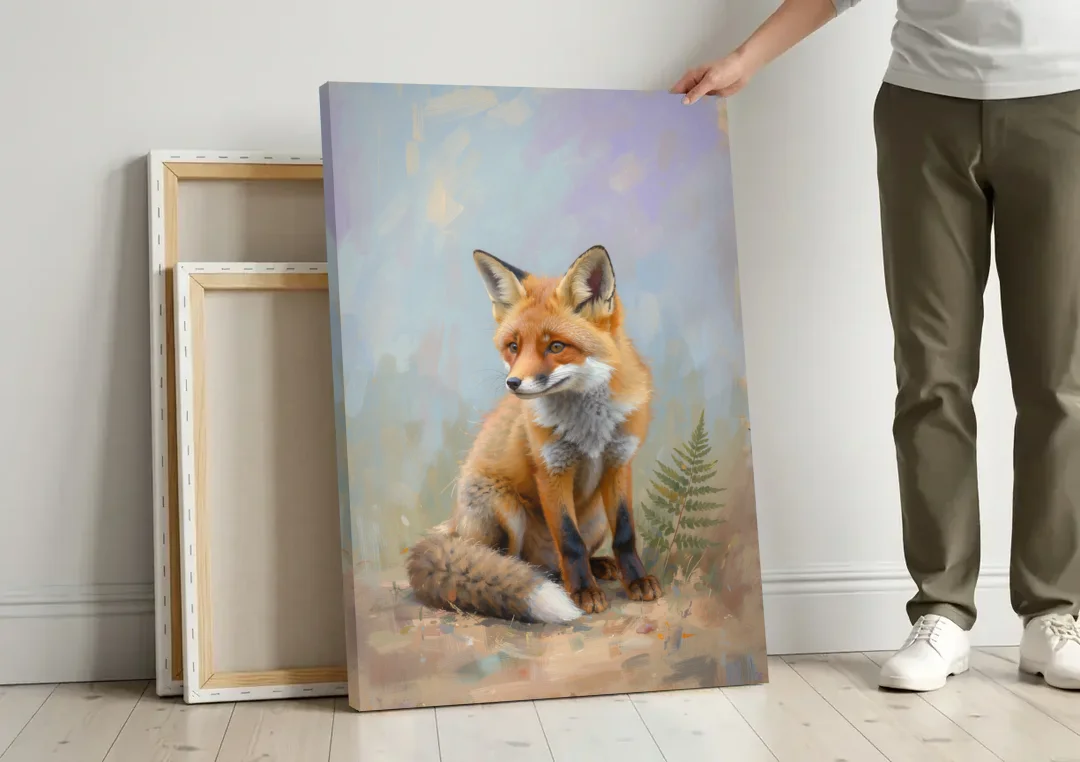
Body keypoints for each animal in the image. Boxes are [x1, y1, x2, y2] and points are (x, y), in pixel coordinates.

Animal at [405, 244, 663, 623]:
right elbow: (570, 541)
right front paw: (583, 592)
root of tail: (450, 527)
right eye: (513, 346)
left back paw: (596, 566)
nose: (513, 383)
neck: (590, 430)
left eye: (555, 346)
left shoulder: (619, 462)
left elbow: (626, 534)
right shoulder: (551, 470)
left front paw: (636, 581)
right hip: (503, 507)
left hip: (596, 516)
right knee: (511, 561)